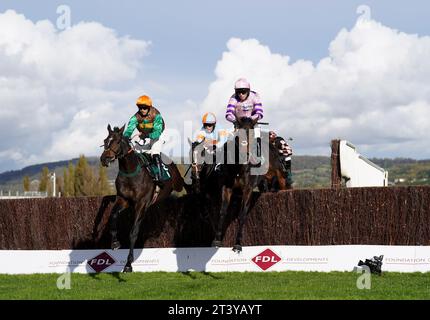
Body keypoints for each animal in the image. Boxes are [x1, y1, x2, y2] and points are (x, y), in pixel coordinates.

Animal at [100, 125, 186, 272]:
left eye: (117, 141)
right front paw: (115, 243)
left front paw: (128, 264)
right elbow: (113, 216)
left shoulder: (141, 204)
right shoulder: (123, 199)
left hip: (177, 182)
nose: (104, 158)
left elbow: (133, 233)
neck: (130, 172)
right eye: (105, 141)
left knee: (185, 184)